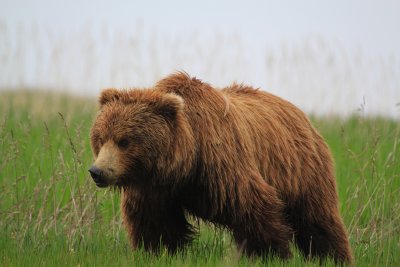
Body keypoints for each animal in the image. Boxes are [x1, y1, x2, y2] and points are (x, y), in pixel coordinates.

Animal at [88, 72, 354, 264]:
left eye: (124, 141)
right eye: (101, 137)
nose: (97, 172)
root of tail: (301, 114)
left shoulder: (221, 166)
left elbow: (254, 207)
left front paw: (271, 254)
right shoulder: (156, 188)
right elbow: (156, 224)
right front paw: (160, 252)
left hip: (302, 169)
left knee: (317, 218)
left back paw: (333, 257)